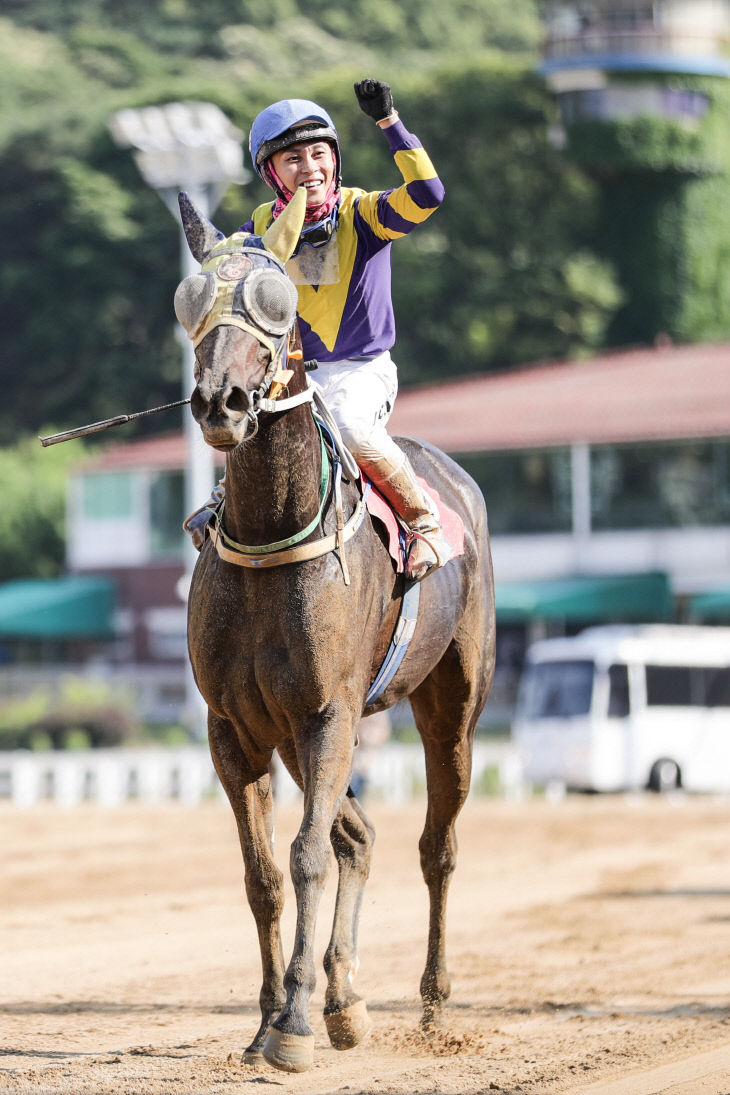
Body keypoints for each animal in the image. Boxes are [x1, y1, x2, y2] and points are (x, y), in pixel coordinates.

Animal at [177, 186, 496, 1068]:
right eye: (188, 300)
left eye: (278, 301)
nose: (221, 403)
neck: (270, 529)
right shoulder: (237, 725)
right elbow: (263, 874)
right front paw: (268, 1017)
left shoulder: (329, 710)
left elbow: (308, 855)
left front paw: (291, 1025)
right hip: (297, 730)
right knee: (361, 833)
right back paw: (346, 997)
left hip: (450, 706)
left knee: (437, 844)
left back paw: (432, 1000)